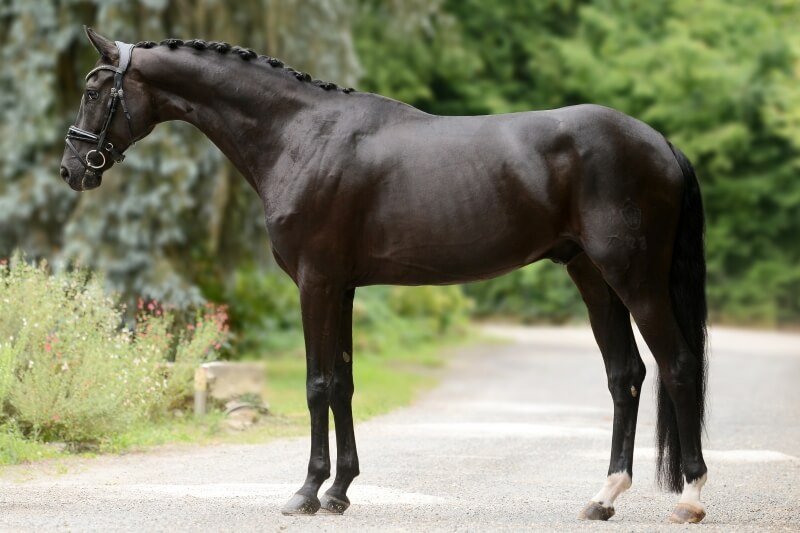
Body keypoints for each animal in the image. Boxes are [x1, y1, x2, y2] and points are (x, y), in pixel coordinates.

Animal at [60, 28, 709, 524]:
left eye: (94, 90)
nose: (73, 169)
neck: (299, 135)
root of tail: (661, 143)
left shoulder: (316, 284)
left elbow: (318, 383)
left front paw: (306, 492)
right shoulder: (342, 287)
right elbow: (344, 384)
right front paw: (340, 491)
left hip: (635, 278)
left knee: (677, 366)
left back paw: (692, 498)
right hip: (593, 276)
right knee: (626, 376)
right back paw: (603, 499)